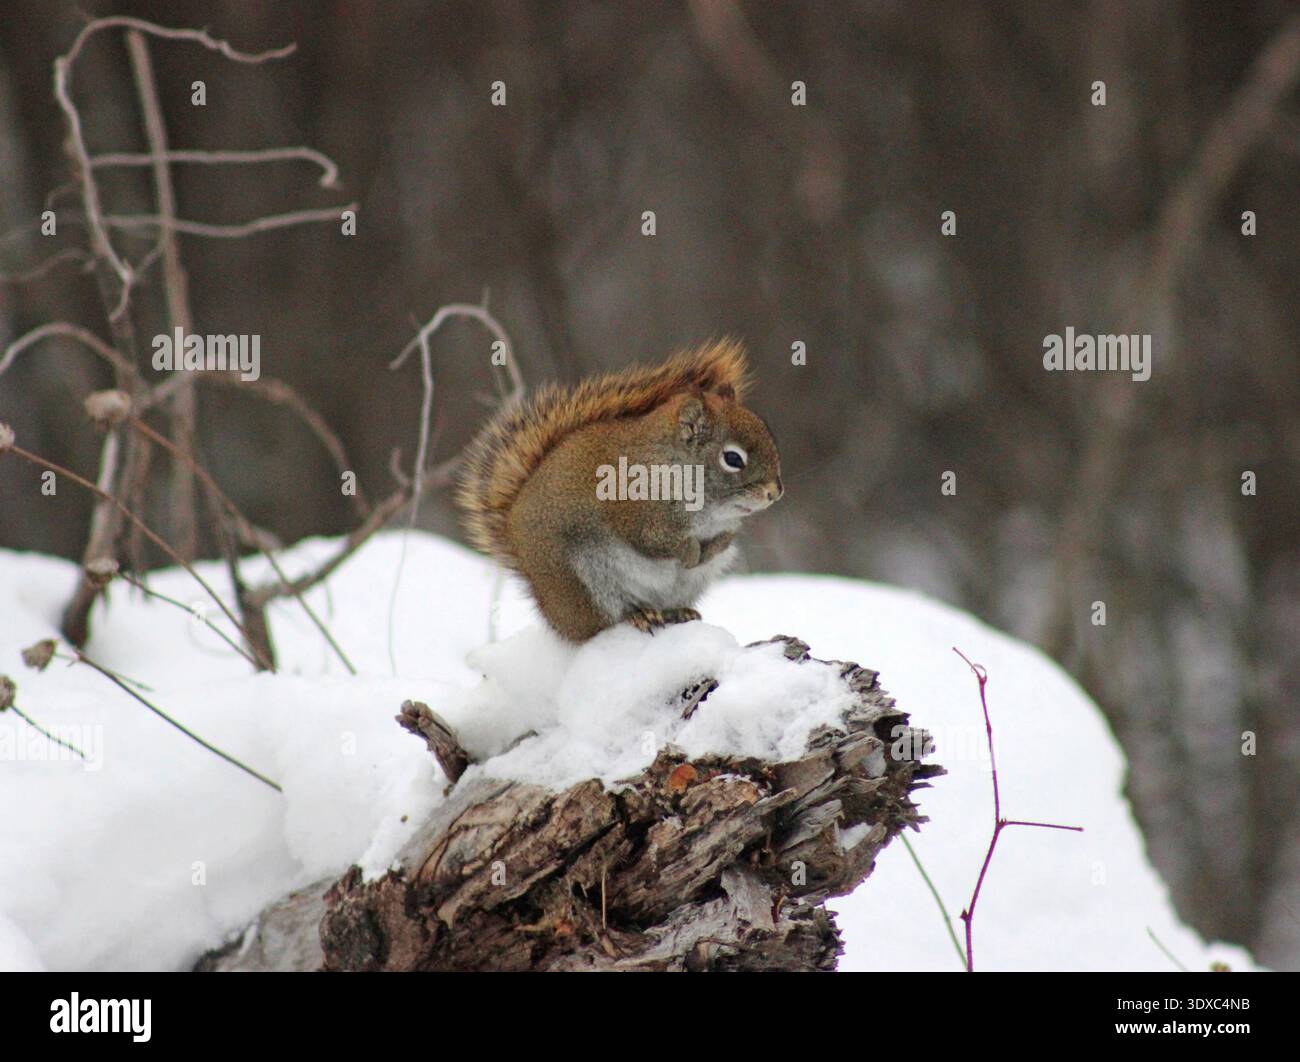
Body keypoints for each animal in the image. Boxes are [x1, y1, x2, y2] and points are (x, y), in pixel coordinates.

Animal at [456, 339, 783, 641]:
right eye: (733, 459)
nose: (775, 493)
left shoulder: (724, 526)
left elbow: (724, 540)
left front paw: (709, 549)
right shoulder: (635, 515)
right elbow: (656, 541)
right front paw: (690, 553)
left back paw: (678, 611)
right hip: (584, 583)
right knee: (602, 624)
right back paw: (637, 615)